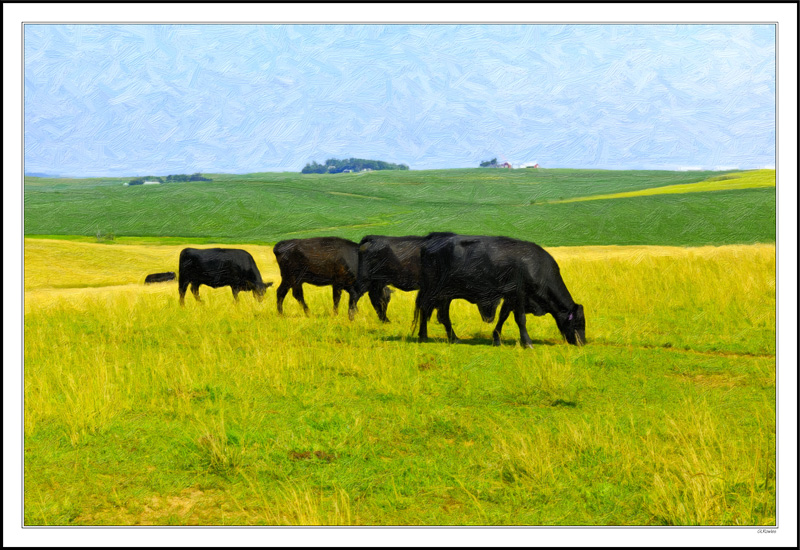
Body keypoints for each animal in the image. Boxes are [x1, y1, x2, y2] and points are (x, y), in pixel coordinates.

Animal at [416, 234, 584, 348]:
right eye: (579, 322)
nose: (583, 342)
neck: (536, 266)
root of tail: (430, 243)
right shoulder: (519, 295)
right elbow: (521, 319)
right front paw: (527, 342)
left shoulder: (509, 297)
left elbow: (503, 316)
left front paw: (496, 338)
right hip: (436, 291)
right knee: (428, 310)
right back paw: (426, 336)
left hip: (444, 295)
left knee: (439, 314)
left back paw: (449, 338)